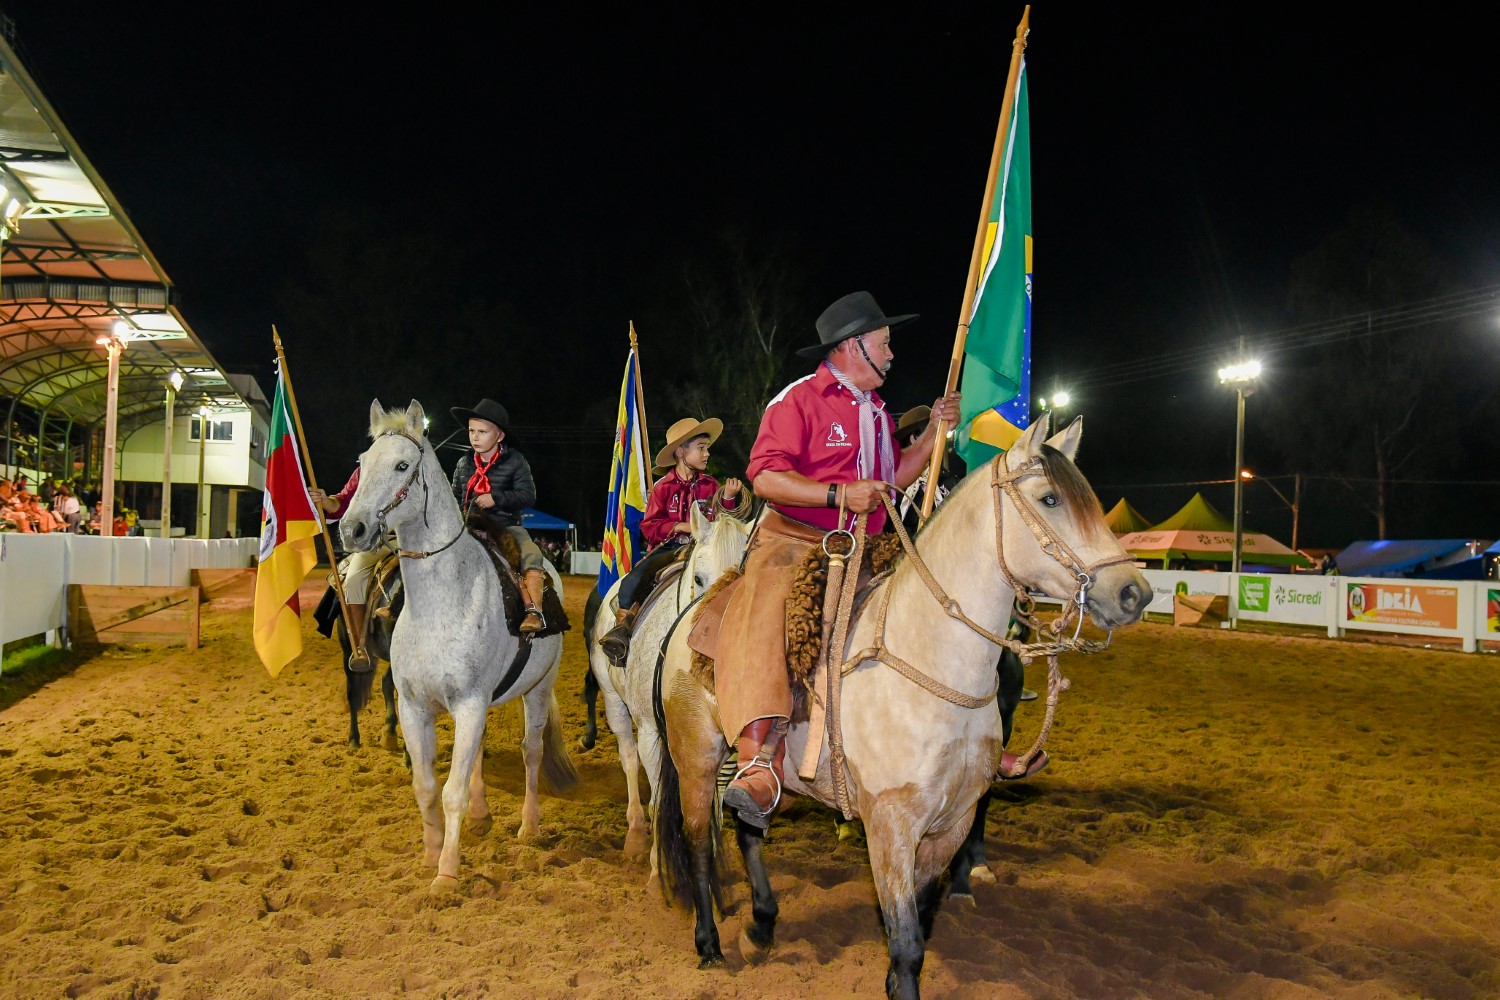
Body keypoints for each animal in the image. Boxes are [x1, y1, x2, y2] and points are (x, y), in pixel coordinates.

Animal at [343, 398, 576, 893]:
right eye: (362, 463)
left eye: (402, 465)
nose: (352, 530)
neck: (439, 603)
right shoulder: (415, 706)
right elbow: (427, 786)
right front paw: (431, 854)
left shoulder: (469, 703)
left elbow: (451, 792)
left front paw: (447, 875)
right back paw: (483, 816)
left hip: (538, 690)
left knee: (531, 751)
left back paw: (528, 826)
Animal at [585, 503, 750, 857]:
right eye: (699, 578)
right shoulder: (649, 729)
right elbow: (658, 793)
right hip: (614, 701)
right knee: (629, 758)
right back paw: (635, 831)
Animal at [651, 410, 1152, 995]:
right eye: (1050, 498)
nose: (1135, 592)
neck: (931, 661)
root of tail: (689, 617)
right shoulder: (890, 827)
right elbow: (907, 939)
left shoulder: (950, 824)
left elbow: (921, 921)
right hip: (696, 758)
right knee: (698, 845)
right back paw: (709, 944)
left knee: (749, 828)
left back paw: (761, 927)